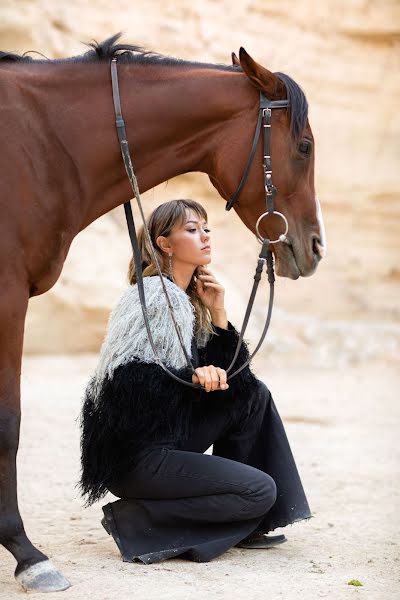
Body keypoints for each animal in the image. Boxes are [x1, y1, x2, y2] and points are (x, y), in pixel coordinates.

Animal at [0, 34, 324, 596]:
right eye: (303, 147)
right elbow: (8, 424)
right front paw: (27, 555)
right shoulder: (7, 295)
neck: (44, 145)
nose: (314, 248)